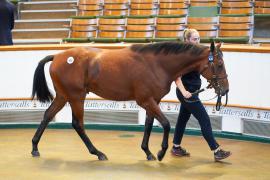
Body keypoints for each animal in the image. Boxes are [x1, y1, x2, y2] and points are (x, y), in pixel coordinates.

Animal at [32, 41, 230, 161]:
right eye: (220, 64)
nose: (225, 90)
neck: (156, 64)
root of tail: (57, 56)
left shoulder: (153, 101)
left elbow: (149, 125)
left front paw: (148, 152)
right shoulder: (145, 100)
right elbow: (166, 124)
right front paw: (160, 152)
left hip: (63, 96)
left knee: (48, 115)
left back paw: (35, 147)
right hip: (76, 97)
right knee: (77, 124)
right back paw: (98, 153)